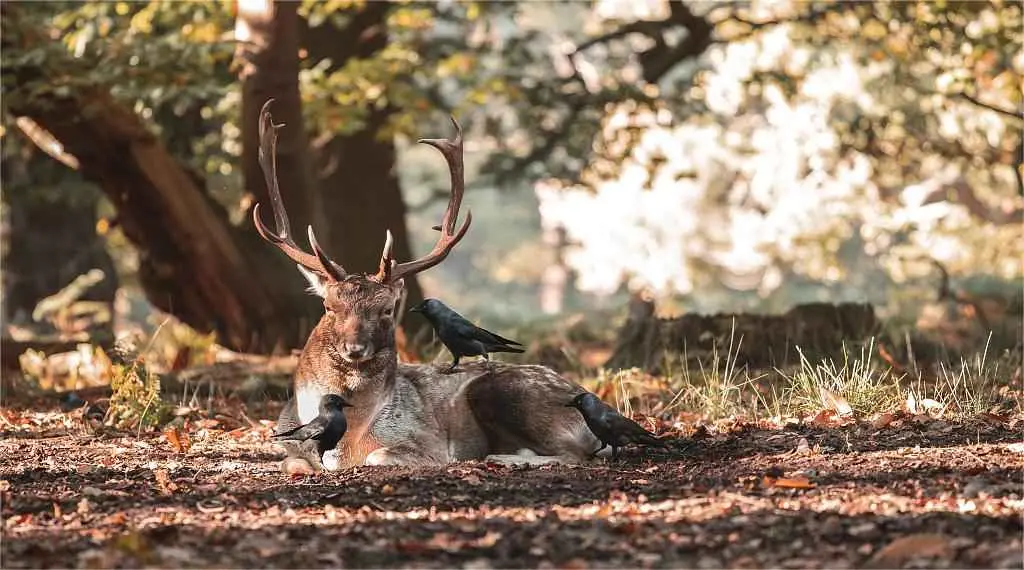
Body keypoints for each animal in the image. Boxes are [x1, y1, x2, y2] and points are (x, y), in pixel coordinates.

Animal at [252, 100, 602, 471]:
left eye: (387, 309)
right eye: (329, 306)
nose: (355, 348)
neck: (345, 442)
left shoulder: (425, 441)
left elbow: (377, 455)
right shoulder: (289, 444)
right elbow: (293, 462)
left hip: (510, 393)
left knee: (574, 453)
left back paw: (504, 457)